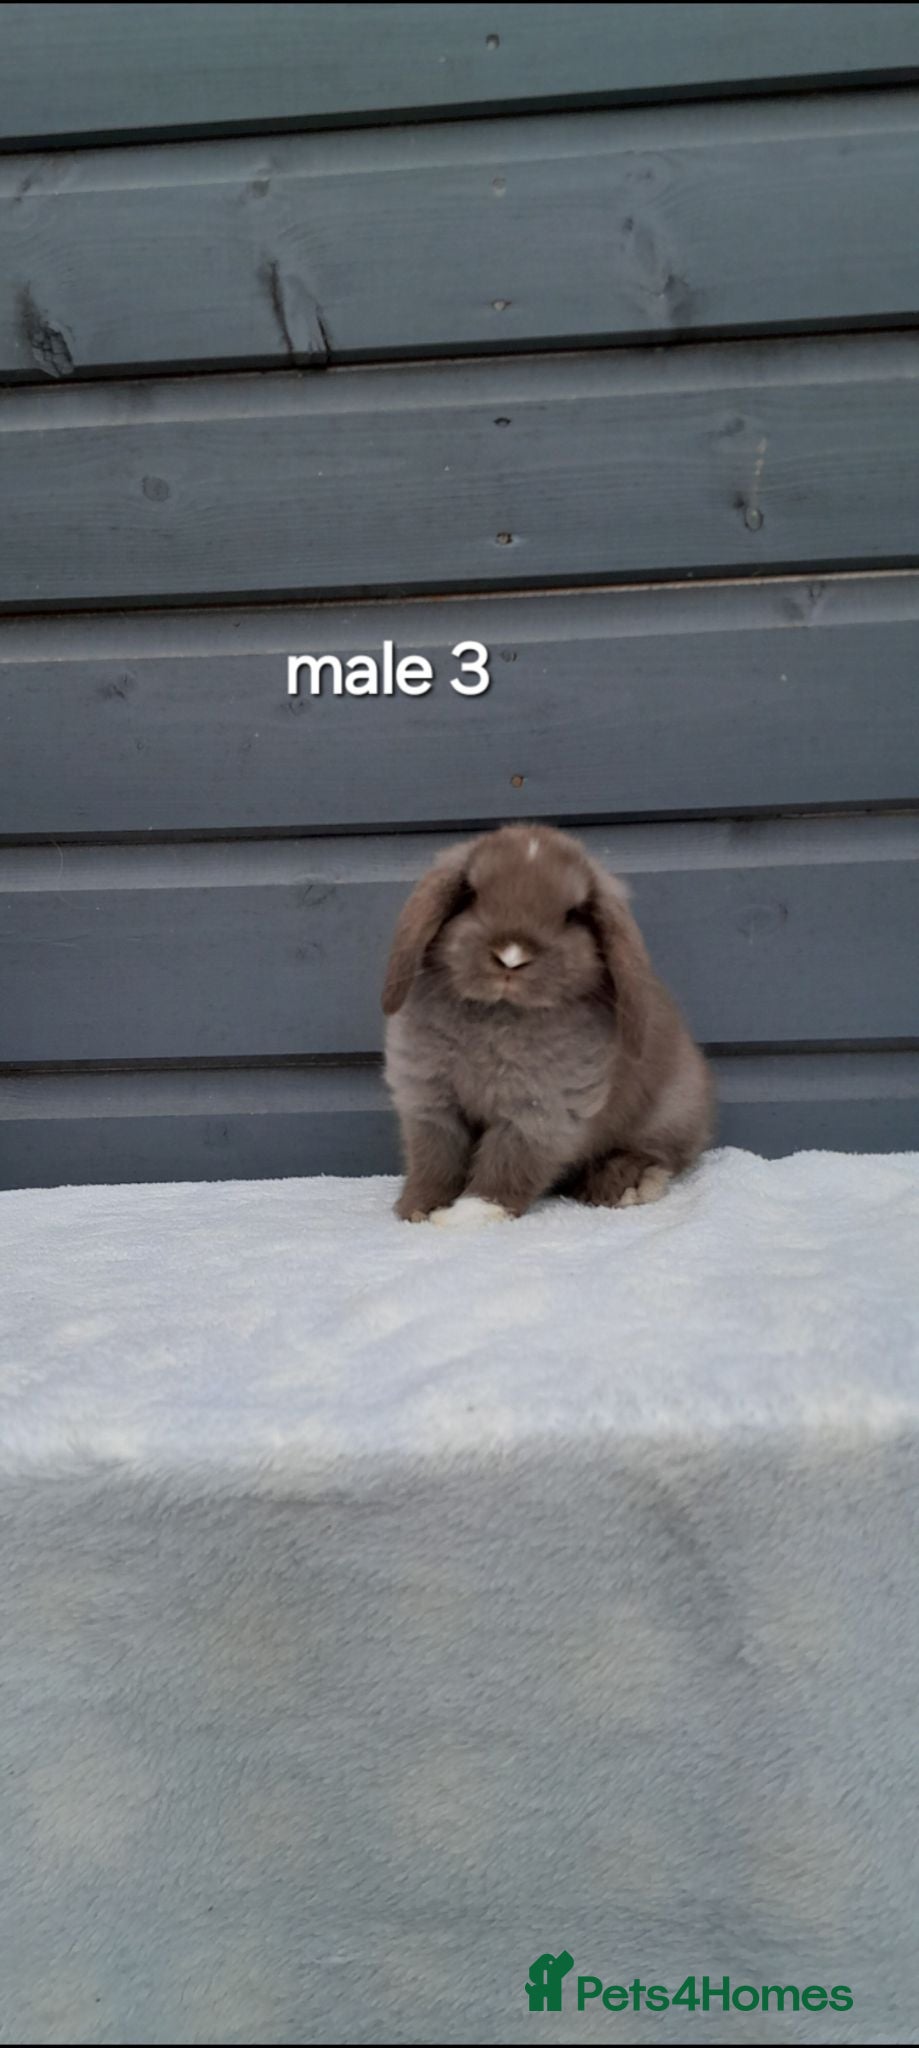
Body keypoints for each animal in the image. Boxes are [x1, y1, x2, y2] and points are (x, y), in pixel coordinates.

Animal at [382, 823, 714, 1228]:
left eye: (572, 914)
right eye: (470, 895)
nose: (511, 957)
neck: (499, 1013)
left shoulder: (540, 1111)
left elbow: (506, 1165)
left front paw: (468, 1216)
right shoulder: (430, 1100)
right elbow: (436, 1160)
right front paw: (420, 1209)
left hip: (669, 1114)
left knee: (655, 1154)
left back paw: (625, 1185)